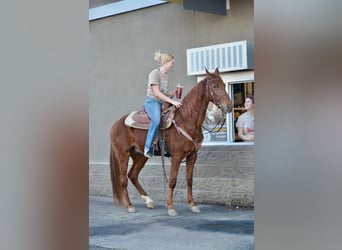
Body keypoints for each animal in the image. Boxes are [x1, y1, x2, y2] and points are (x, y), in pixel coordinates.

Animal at [109, 68, 232, 215]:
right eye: (215, 86)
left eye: (224, 84)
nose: (229, 106)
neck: (186, 120)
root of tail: (116, 124)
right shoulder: (177, 157)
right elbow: (172, 180)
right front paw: (171, 207)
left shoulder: (192, 156)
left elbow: (189, 180)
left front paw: (193, 205)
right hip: (123, 154)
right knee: (123, 179)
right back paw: (129, 206)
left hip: (140, 156)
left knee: (132, 175)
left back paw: (149, 201)